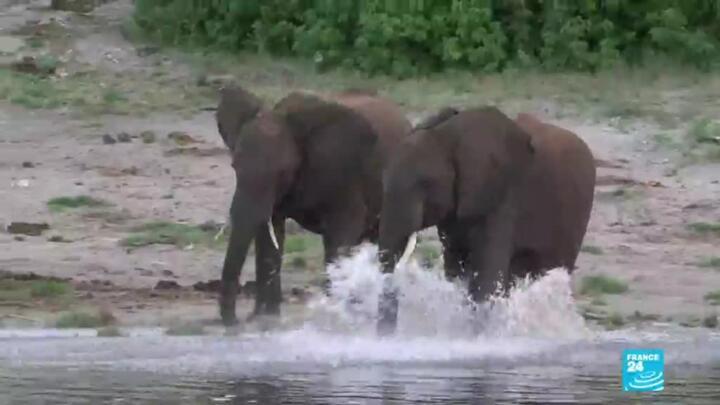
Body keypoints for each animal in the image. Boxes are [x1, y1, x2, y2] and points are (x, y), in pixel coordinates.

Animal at [215, 85, 412, 326]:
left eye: (282, 172)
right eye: (234, 167)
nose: (236, 322)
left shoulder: (344, 173)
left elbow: (340, 238)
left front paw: (334, 317)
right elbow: (270, 236)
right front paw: (267, 319)